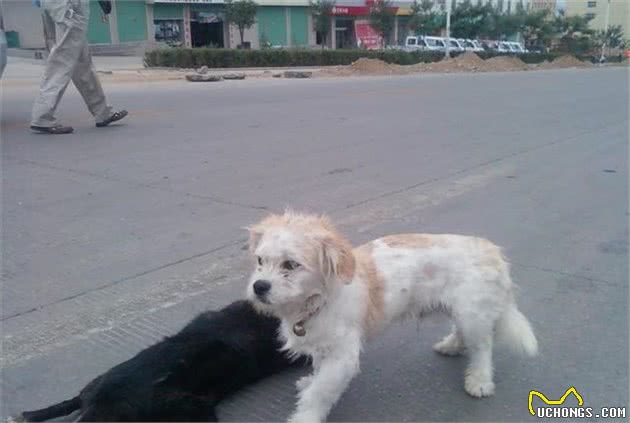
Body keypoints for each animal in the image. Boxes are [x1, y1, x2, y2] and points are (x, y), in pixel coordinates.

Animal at [247, 212, 540, 423]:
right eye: (260, 260)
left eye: (290, 265)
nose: (259, 286)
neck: (319, 299)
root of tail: (492, 251)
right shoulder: (323, 345)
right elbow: (318, 374)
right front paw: (310, 380)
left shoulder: (343, 357)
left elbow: (318, 394)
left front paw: (304, 417)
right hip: (461, 310)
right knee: (462, 332)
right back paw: (451, 345)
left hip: (473, 314)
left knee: (482, 348)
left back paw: (479, 380)